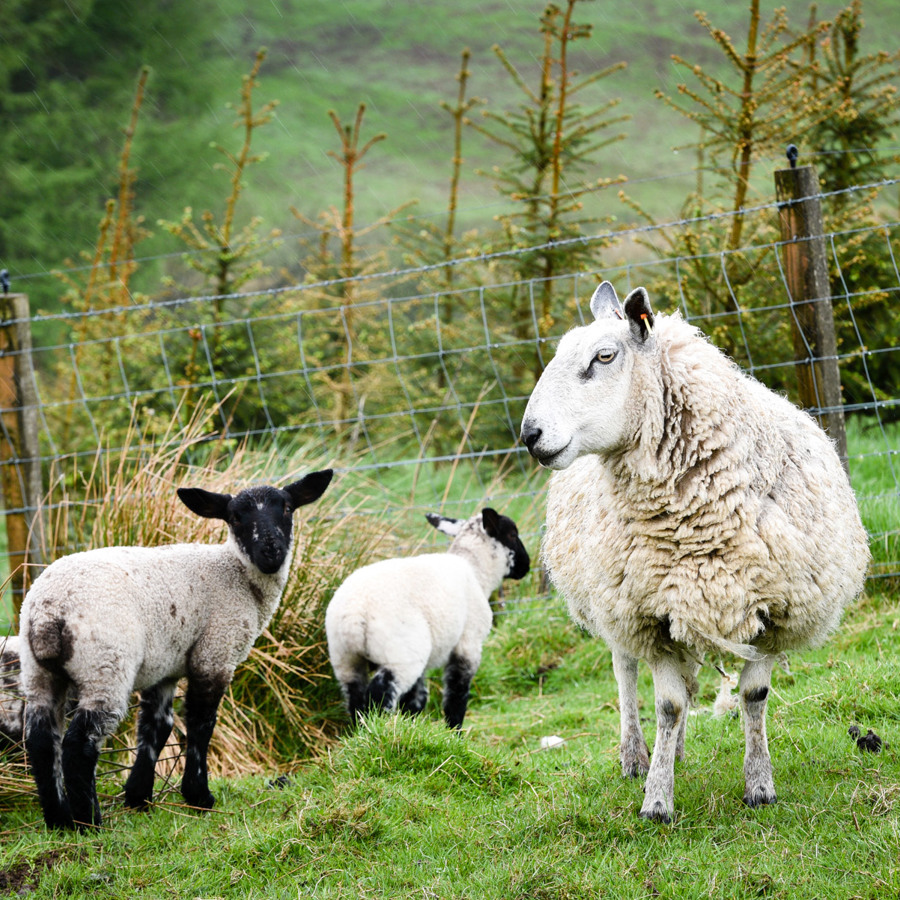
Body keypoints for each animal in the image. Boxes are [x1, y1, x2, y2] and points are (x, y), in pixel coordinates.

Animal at [19, 469, 333, 831]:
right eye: (236, 517)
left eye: (287, 508)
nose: (271, 551)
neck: (237, 574)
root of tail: (49, 611)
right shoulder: (215, 652)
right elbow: (200, 724)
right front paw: (198, 796)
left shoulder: (164, 668)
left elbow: (157, 727)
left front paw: (138, 797)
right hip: (105, 664)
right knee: (78, 744)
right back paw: (89, 822)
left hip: (38, 671)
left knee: (41, 741)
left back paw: (59, 820)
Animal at [325, 507, 530, 729]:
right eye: (512, 534)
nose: (526, 566)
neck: (476, 571)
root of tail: (353, 616)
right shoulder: (469, 644)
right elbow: (456, 696)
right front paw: (453, 733)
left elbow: (416, 699)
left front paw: (412, 727)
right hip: (400, 654)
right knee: (378, 694)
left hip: (346, 659)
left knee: (355, 699)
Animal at [520, 281, 870, 823]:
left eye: (604, 356)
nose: (530, 435)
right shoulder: (650, 614)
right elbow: (666, 706)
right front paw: (657, 800)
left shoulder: (775, 611)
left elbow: (752, 695)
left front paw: (759, 785)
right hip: (616, 599)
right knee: (626, 671)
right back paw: (635, 756)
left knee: (685, 684)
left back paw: (677, 751)